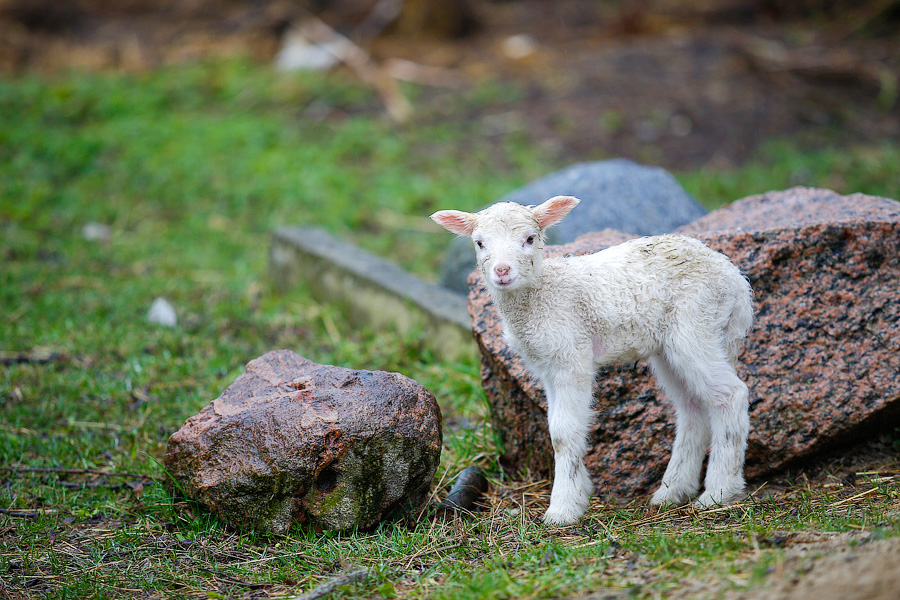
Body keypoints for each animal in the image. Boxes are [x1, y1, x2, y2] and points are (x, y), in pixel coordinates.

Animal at [432, 196, 756, 524]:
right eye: (479, 243)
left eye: (530, 239)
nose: (502, 270)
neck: (541, 295)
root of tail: (737, 281)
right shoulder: (547, 367)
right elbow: (555, 430)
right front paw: (577, 492)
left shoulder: (571, 356)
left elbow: (563, 433)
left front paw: (562, 509)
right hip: (671, 348)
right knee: (693, 407)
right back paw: (673, 491)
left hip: (696, 326)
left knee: (730, 395)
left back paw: (718, 493)